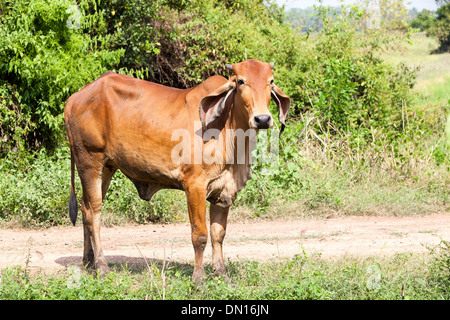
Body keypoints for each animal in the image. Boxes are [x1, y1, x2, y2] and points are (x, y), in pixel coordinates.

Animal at [64, 58, 288, 284]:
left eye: (271, 81)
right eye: (241, 81)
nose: (262, 119)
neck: (227, 129)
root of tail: (74, 98)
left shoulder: (224, 189)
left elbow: (218, 233)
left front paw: (221, 274)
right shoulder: (195, 184)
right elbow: (200, 235)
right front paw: (199, 279)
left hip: (107, 167)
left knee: (85, 208)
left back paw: (89, 261)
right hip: (90, 161)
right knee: (94, 212)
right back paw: (101, 267)